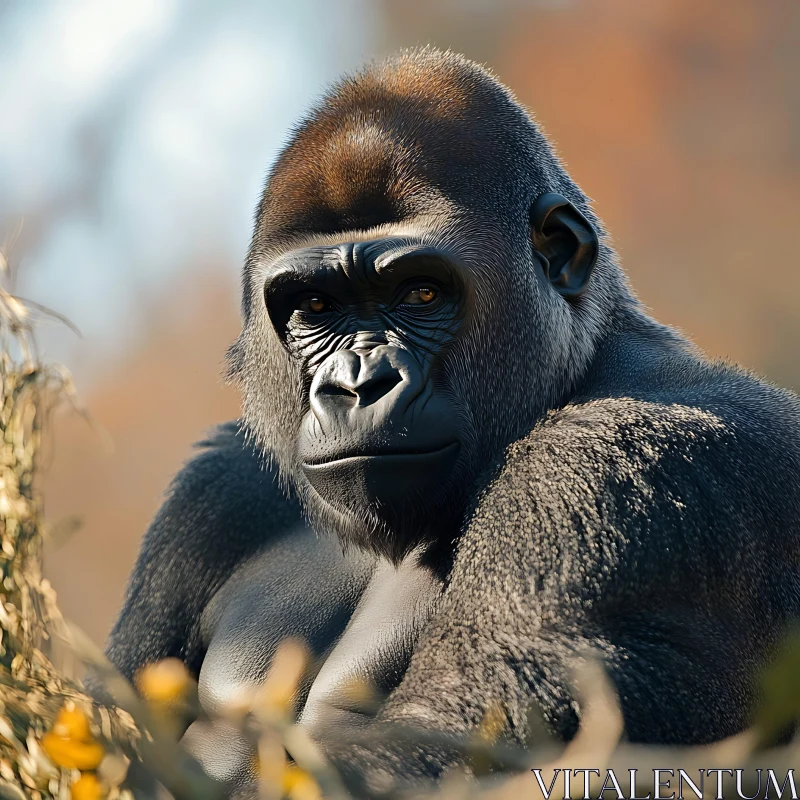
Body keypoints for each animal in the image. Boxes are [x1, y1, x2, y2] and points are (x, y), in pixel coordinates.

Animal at [104, 48, 800, 792]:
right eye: (315, 306)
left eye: (421, 293)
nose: (358, 385)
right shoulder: (216, 488)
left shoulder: (616, 466)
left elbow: (449, 745)